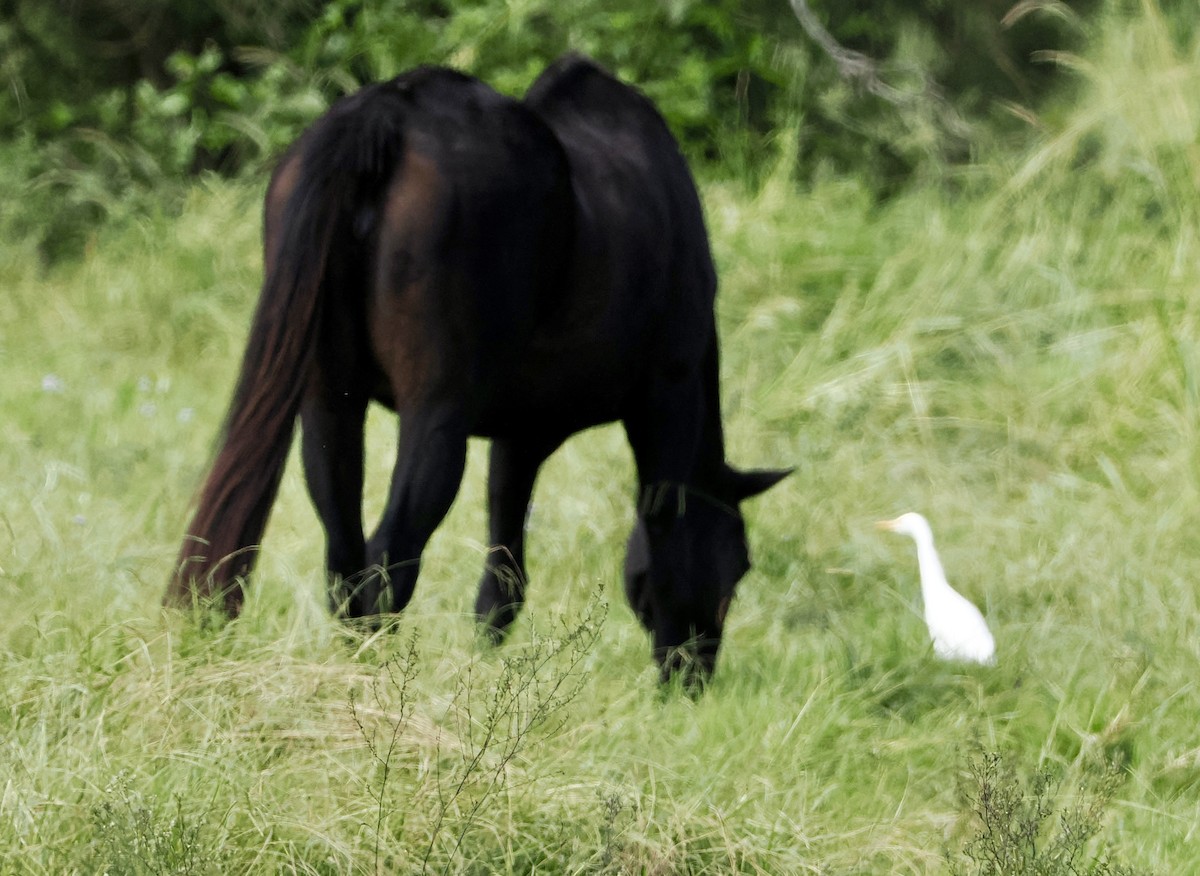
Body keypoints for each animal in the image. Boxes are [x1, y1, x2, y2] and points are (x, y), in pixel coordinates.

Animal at [169, 56, 787, 681]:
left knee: (344, 555)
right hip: (435, 417)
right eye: (737, 566)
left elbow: (502, 577)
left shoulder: (519, 433)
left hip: (329, 405)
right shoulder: (663, 399)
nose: (691, 679)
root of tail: (390, 111)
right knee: (389, 560)